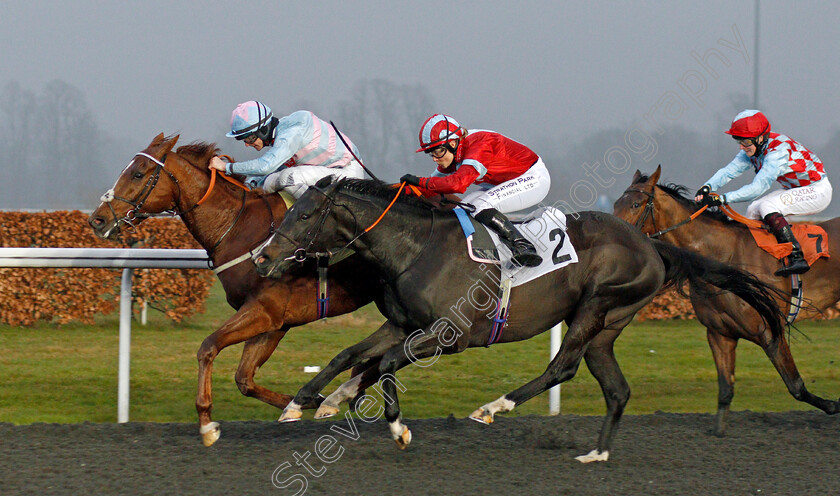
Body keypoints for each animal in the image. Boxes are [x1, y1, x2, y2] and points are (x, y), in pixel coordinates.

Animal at [86, 134, 380, 448]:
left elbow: (208, 347)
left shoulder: (264, 311)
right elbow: (244, 379)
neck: (244, 231)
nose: (97, 220)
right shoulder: (274, 322)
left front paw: (206, 423)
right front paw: (307, 401)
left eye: (138, 174)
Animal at [251, 178, 788, 462]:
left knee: (563, 366)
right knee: (615, 388)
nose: (263, 258)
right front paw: (304, 402)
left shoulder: (449, 336)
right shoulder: (404, 324)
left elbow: (382, 364)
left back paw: (494, 406)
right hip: (608, 325)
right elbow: (351, 355)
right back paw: (596, 454)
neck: (415, 247)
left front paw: (397, 428)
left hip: (596, 304)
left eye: (303, 216)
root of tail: (652, 244)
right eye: (290, 210)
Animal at [612, 164, 840, 434]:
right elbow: (725, 389)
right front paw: (718, 431)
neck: (725, 256)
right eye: (616, 204)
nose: (613, 235)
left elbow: (795, 386)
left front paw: (833, 405)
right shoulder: (720, 334)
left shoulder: (770, 330)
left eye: (636, 204)